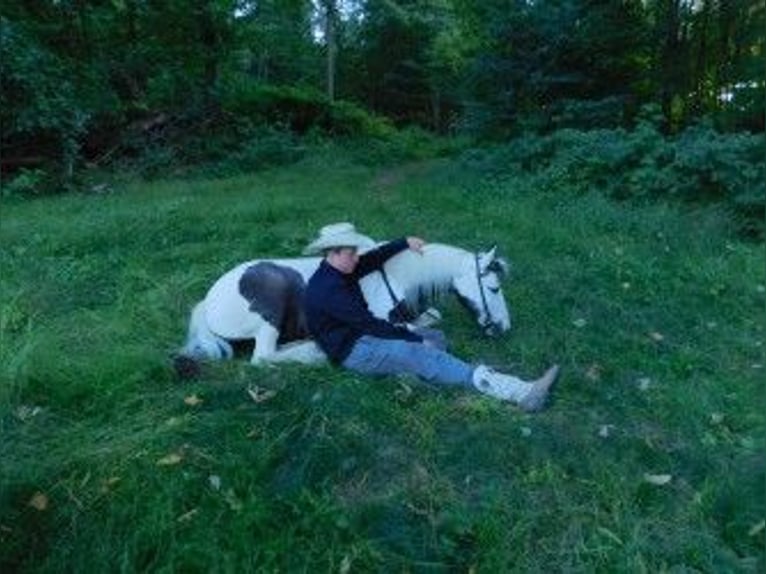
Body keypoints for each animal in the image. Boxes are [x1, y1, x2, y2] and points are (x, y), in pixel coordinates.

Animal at [178, 242, 512, 368]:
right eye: (494, 288)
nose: (505, 329)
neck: (392, 275)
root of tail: (207, 301)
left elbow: (432, 317)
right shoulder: (379, 320)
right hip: (269, 314)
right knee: (263, 357)